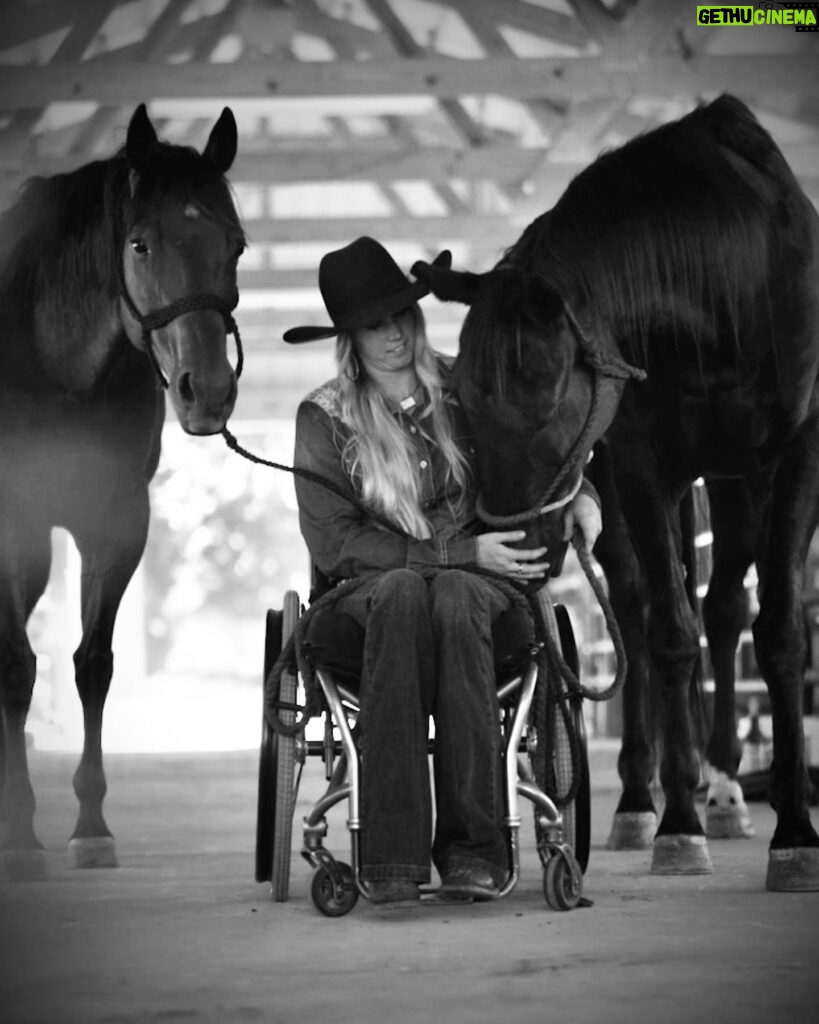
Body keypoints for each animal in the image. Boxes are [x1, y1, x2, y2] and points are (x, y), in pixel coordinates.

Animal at [0, 103, 244, 876]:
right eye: (139, 244)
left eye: (235, 244)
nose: (209, 394)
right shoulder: (13, 522)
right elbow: (17, 667)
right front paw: (20, 834)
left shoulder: (117, 520)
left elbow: (93, 664)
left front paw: (90, 825)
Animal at [415, 96, 818, 892]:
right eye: (461, 399)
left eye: (543, 397)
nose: (509, 549)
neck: (720, 277)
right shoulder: (638, 465)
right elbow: (667, 633)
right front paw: (676, 825)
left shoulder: (797, 446)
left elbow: (781, 628)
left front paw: (794, 834)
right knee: (641, 607)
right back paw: (644, 797)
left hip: (731, 482)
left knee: (726, 607)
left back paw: (725, 788)